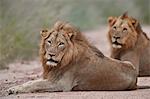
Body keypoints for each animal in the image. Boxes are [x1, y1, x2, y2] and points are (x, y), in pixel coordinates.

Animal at [6, 20, 137, 94]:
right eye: (49, 41)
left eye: (61, 44)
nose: (51, 55)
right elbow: (31, 82)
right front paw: (13, 88)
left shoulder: (62, 84)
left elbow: (35, 84)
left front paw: (15, 90)